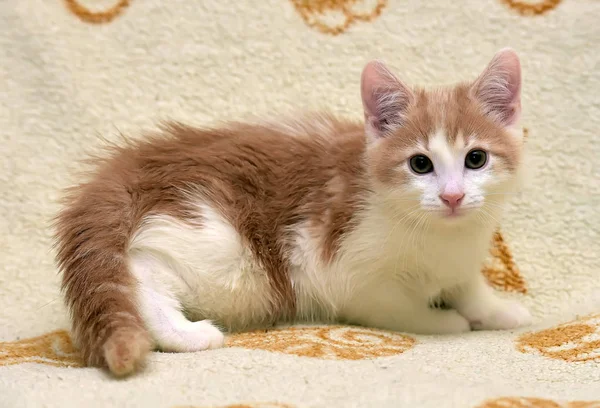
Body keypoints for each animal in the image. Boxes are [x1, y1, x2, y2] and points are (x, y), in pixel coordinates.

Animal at [52, 47, 528, 376]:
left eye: (476, 159)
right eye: (420, 164)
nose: (452, 197)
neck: (441, 236)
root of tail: (129, 166)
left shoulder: (462, 257)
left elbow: (469, 285)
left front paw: (498, 311)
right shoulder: (348, 274)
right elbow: (398, 308)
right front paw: (446, 321)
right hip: (223, 249)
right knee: (143, 270)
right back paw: (185, 334)